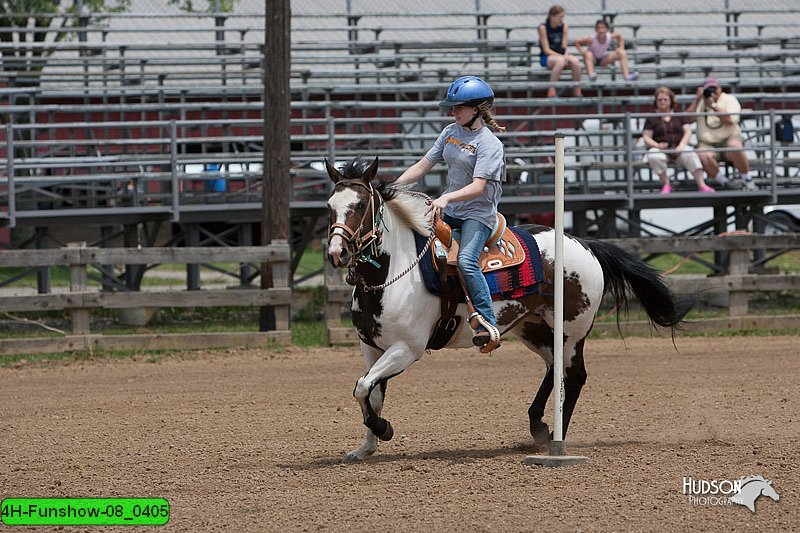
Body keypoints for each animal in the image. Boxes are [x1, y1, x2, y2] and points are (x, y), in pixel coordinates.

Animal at [324, 155, 692, 462]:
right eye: (330, 206)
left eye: (359, 204)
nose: (336, 253)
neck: (394, 273)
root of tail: (584, 243)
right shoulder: (372, 347)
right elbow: (370, 391)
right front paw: (365, 448)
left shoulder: (407, 348)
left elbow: (362, 387)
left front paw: (384, 429)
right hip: (534, 328)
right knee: (554, 368)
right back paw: (539, 427)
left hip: (572, 332)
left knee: (573, 377)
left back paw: (555, 440)